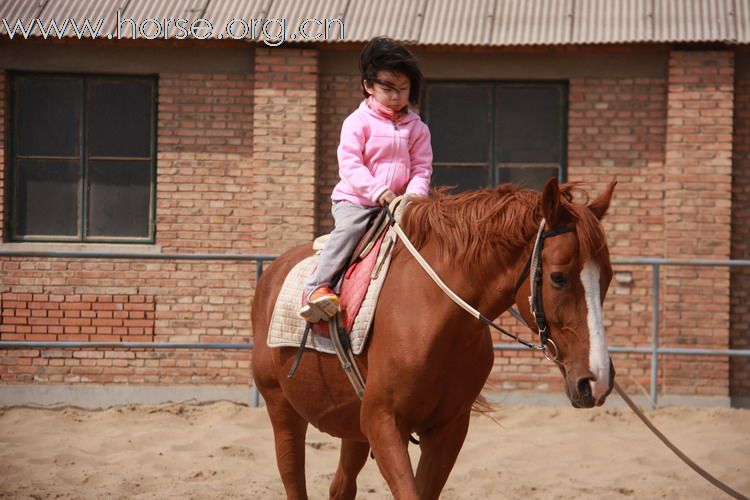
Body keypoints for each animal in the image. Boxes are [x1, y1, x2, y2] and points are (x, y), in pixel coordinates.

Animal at [251, 178, 616, 498]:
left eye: (608, 277)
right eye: (558, 277)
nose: (596, 381)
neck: (432, 317)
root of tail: (273, 272)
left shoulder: (447, 430)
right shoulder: (383, 422)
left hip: (353, 427)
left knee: (341, 488)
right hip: (282, 410)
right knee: (293, 478)